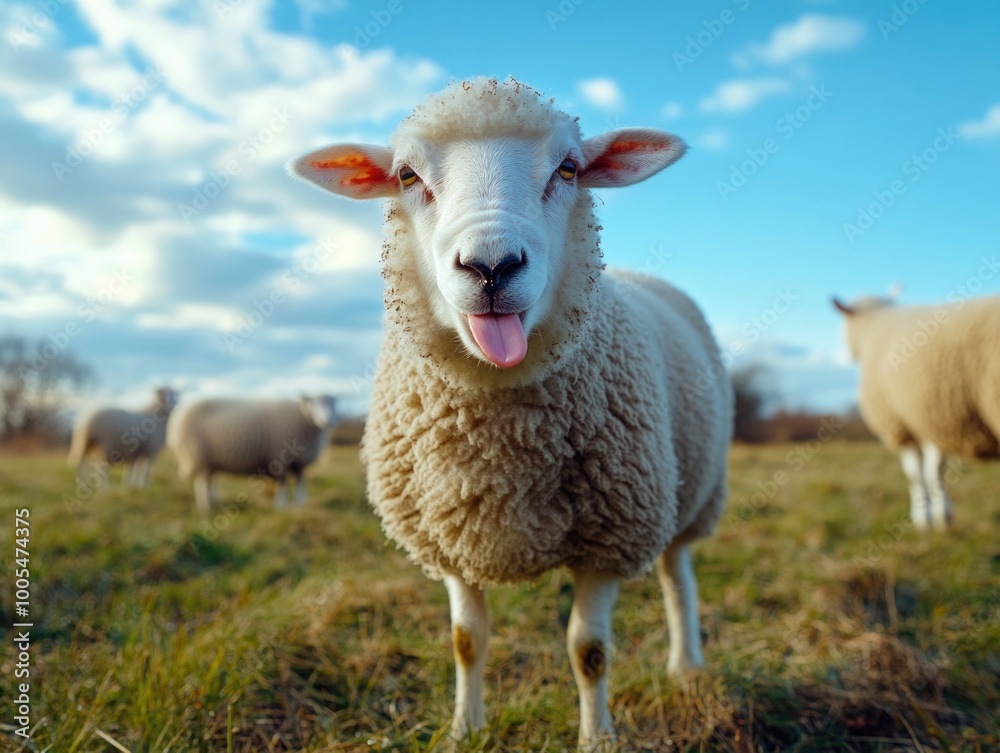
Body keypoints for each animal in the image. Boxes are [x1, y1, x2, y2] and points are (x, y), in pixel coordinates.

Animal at [167, 395, 337, 513]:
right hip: (198, 455)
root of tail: (179, 414)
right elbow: (282, 485)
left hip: (210, 461)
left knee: (209, 482)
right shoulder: (280, 459)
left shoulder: (300, 463)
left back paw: (213, 502)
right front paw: (280, 507)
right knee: (201, 485)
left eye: (333, 404)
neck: (303, 418)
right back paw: (206, 509)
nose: (328, 421)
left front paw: (300, 505)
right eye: (313, 404)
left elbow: (301, 484)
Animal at [289, 77, 733, 748]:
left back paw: (686, 666)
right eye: (407, 175)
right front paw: (463, 730)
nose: (491, 267)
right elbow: (466, 642)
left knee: (678, 579)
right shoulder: (449, 539)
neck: (502, 449)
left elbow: (588, 652)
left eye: (569, 168)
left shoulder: (608, 541)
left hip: (690, 495)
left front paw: (597, 737)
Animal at [833, 292, 1000, 530]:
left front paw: (922, 517)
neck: (876, 322)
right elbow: (935, 469)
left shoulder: (900, 425)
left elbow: (914, 474)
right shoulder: (933, 417)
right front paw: (943, 516)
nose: (848, 354)